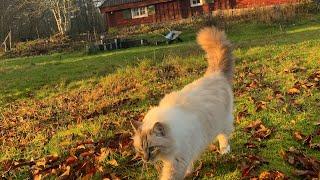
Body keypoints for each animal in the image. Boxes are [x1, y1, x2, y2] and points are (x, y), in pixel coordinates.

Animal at [131, 27, 234, 180]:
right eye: (140, 149)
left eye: (152, 148)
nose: (146, 159)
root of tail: (215, 74)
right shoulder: (184, 154)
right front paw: (189, 172)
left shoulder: (177, 159)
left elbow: (170, 176)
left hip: (222, 122)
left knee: (224, 135)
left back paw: (224, 150)